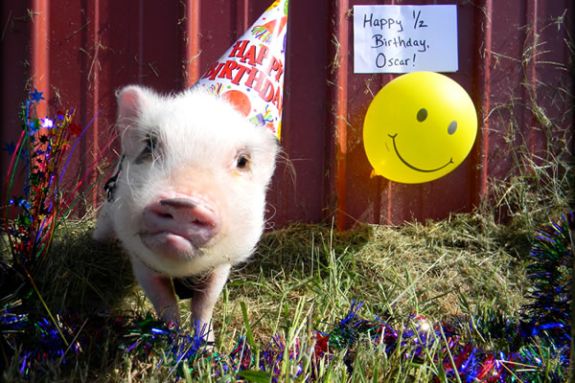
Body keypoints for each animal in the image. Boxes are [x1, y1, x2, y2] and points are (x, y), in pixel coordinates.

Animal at [93, 87, 280, 342]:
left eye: (242, 161)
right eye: (150, 145)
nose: (183, 204)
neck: (180, 270)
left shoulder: (220, 266)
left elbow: (205, 304)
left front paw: (206, 344)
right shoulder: (142, 262)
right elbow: (164, 302)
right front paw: (170, 336)